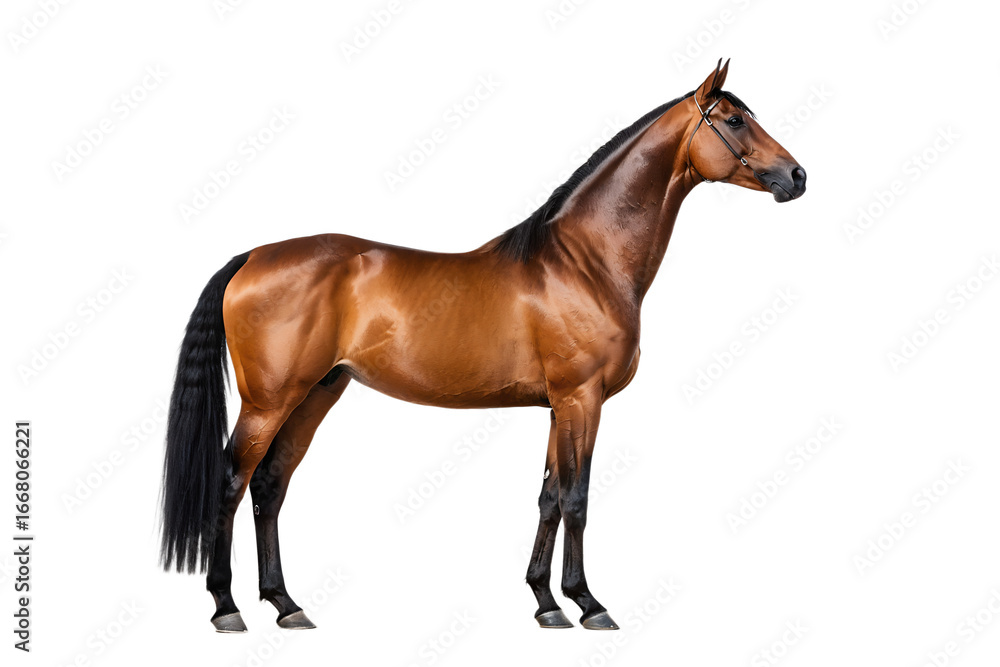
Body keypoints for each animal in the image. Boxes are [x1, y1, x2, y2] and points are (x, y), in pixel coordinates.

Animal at [160, 59, 806, 633]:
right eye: (734, 120)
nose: (797, 176)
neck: (585, 264)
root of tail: (253, 256)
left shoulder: (558, 406)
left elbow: (548, 497)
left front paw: (546, 604)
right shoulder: (582, 399)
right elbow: (577, 498)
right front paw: (588, 604)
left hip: (317, 392)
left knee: (270, 485)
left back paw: (286, 605)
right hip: (270, 401)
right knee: (231, 481)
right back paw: (227, 607)